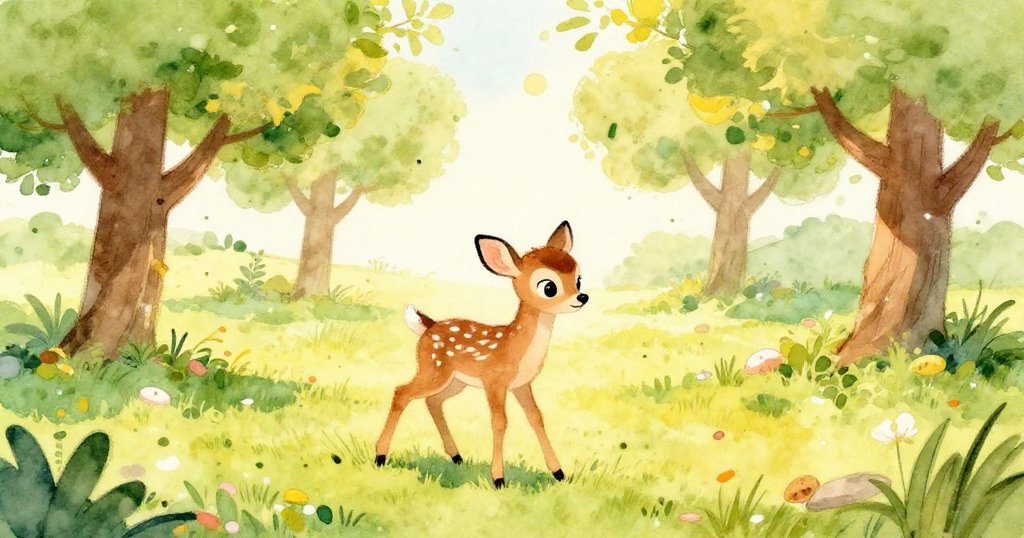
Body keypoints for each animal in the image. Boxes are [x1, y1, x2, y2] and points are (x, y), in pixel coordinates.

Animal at [373, 221, 588, 489]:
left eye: (578, 279)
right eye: (549, 287)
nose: (582, 297)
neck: (514, 347)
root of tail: (428, 326)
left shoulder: (521, 384)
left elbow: (536, 417)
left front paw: (558, 473)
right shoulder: (494, 380)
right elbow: (500, 422)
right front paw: (498, 479)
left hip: (455, 381)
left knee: (432, 401)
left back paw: (456, 456)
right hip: (432, 368)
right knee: (401, 392)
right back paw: (380, 456)